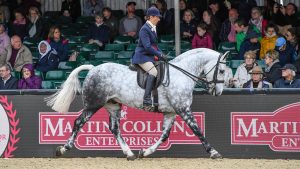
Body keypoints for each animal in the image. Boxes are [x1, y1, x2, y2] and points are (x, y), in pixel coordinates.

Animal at [46, 47, 227, 160]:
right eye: (222, 70)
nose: (218, 92)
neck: (181, 74)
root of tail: (93, 69)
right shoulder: (183, 109)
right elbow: (197, 130)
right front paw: (214, 152)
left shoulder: (171, 112)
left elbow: (164, 136)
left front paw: (144, 152)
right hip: (93, 104)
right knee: (78, 122)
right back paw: (62, 149)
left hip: (113, 105)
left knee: (114, 128)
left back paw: (130, 154)